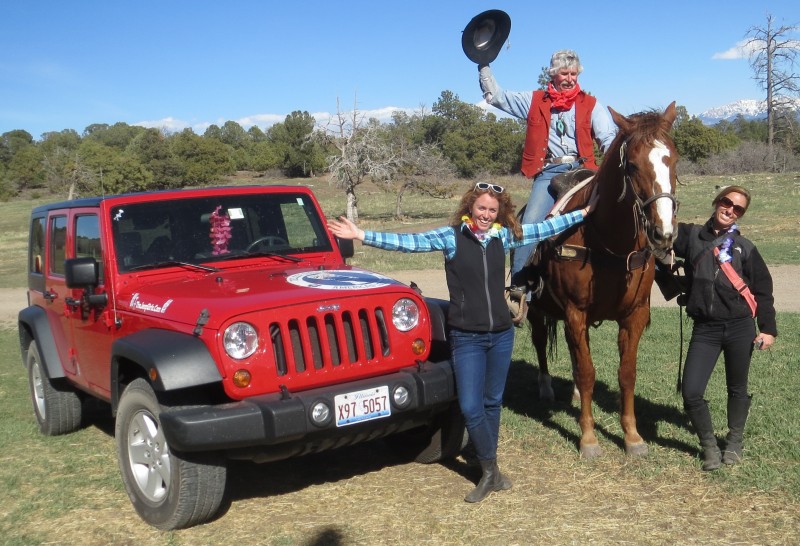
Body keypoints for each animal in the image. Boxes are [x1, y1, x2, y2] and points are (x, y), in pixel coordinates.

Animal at [528, 101, 680, 454]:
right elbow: (587, 373)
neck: (610, 242)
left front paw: (633, 436)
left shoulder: (635, 315)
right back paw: (545, 387)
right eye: (633, 166)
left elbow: (627, 373)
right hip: (536, 309)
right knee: (541, 341)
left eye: (674, 159)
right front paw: (588, 437)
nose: (663, 233)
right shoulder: (575, 312)